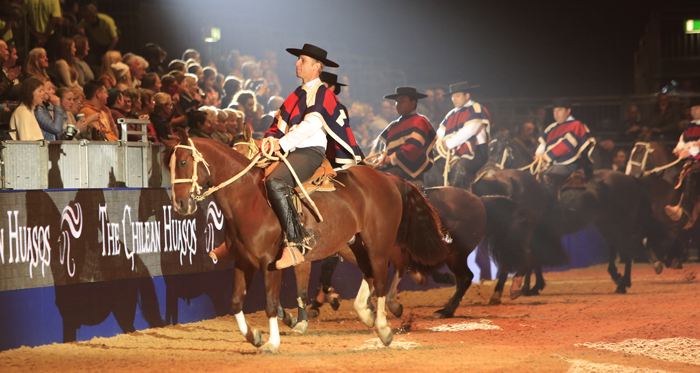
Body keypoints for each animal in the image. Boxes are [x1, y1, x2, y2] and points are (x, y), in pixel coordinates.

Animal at [163, 130, 448, 352]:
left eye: (184, 161)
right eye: (170, 165)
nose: (180, 204)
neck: (249, 200)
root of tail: (388, 178)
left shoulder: (270, 263)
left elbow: (272, 303)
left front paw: (273, 342)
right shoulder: (243, 262)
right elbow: (235, 301)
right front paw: (255, 336)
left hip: (379, 242)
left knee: (383, 275)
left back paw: (384, 326)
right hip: (352, 244)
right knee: (370, 274)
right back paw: (367, 314)